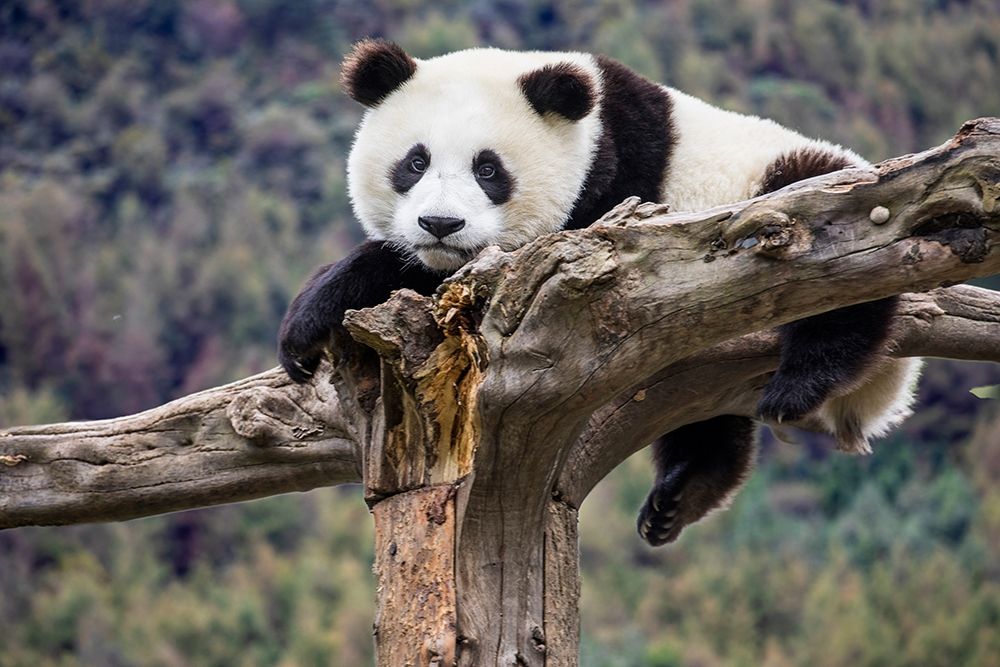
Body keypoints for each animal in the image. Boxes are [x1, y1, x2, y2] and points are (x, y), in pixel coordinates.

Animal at [278, 39, 922, 546]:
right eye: (415, 162)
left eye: (489, 170)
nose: (440, 224)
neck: (592, 124)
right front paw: (307, 327)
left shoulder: (610, 192)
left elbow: (459, 272)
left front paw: (319, 310)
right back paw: (680, 495)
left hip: (800, 198)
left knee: (829, 246)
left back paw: (804, 380)